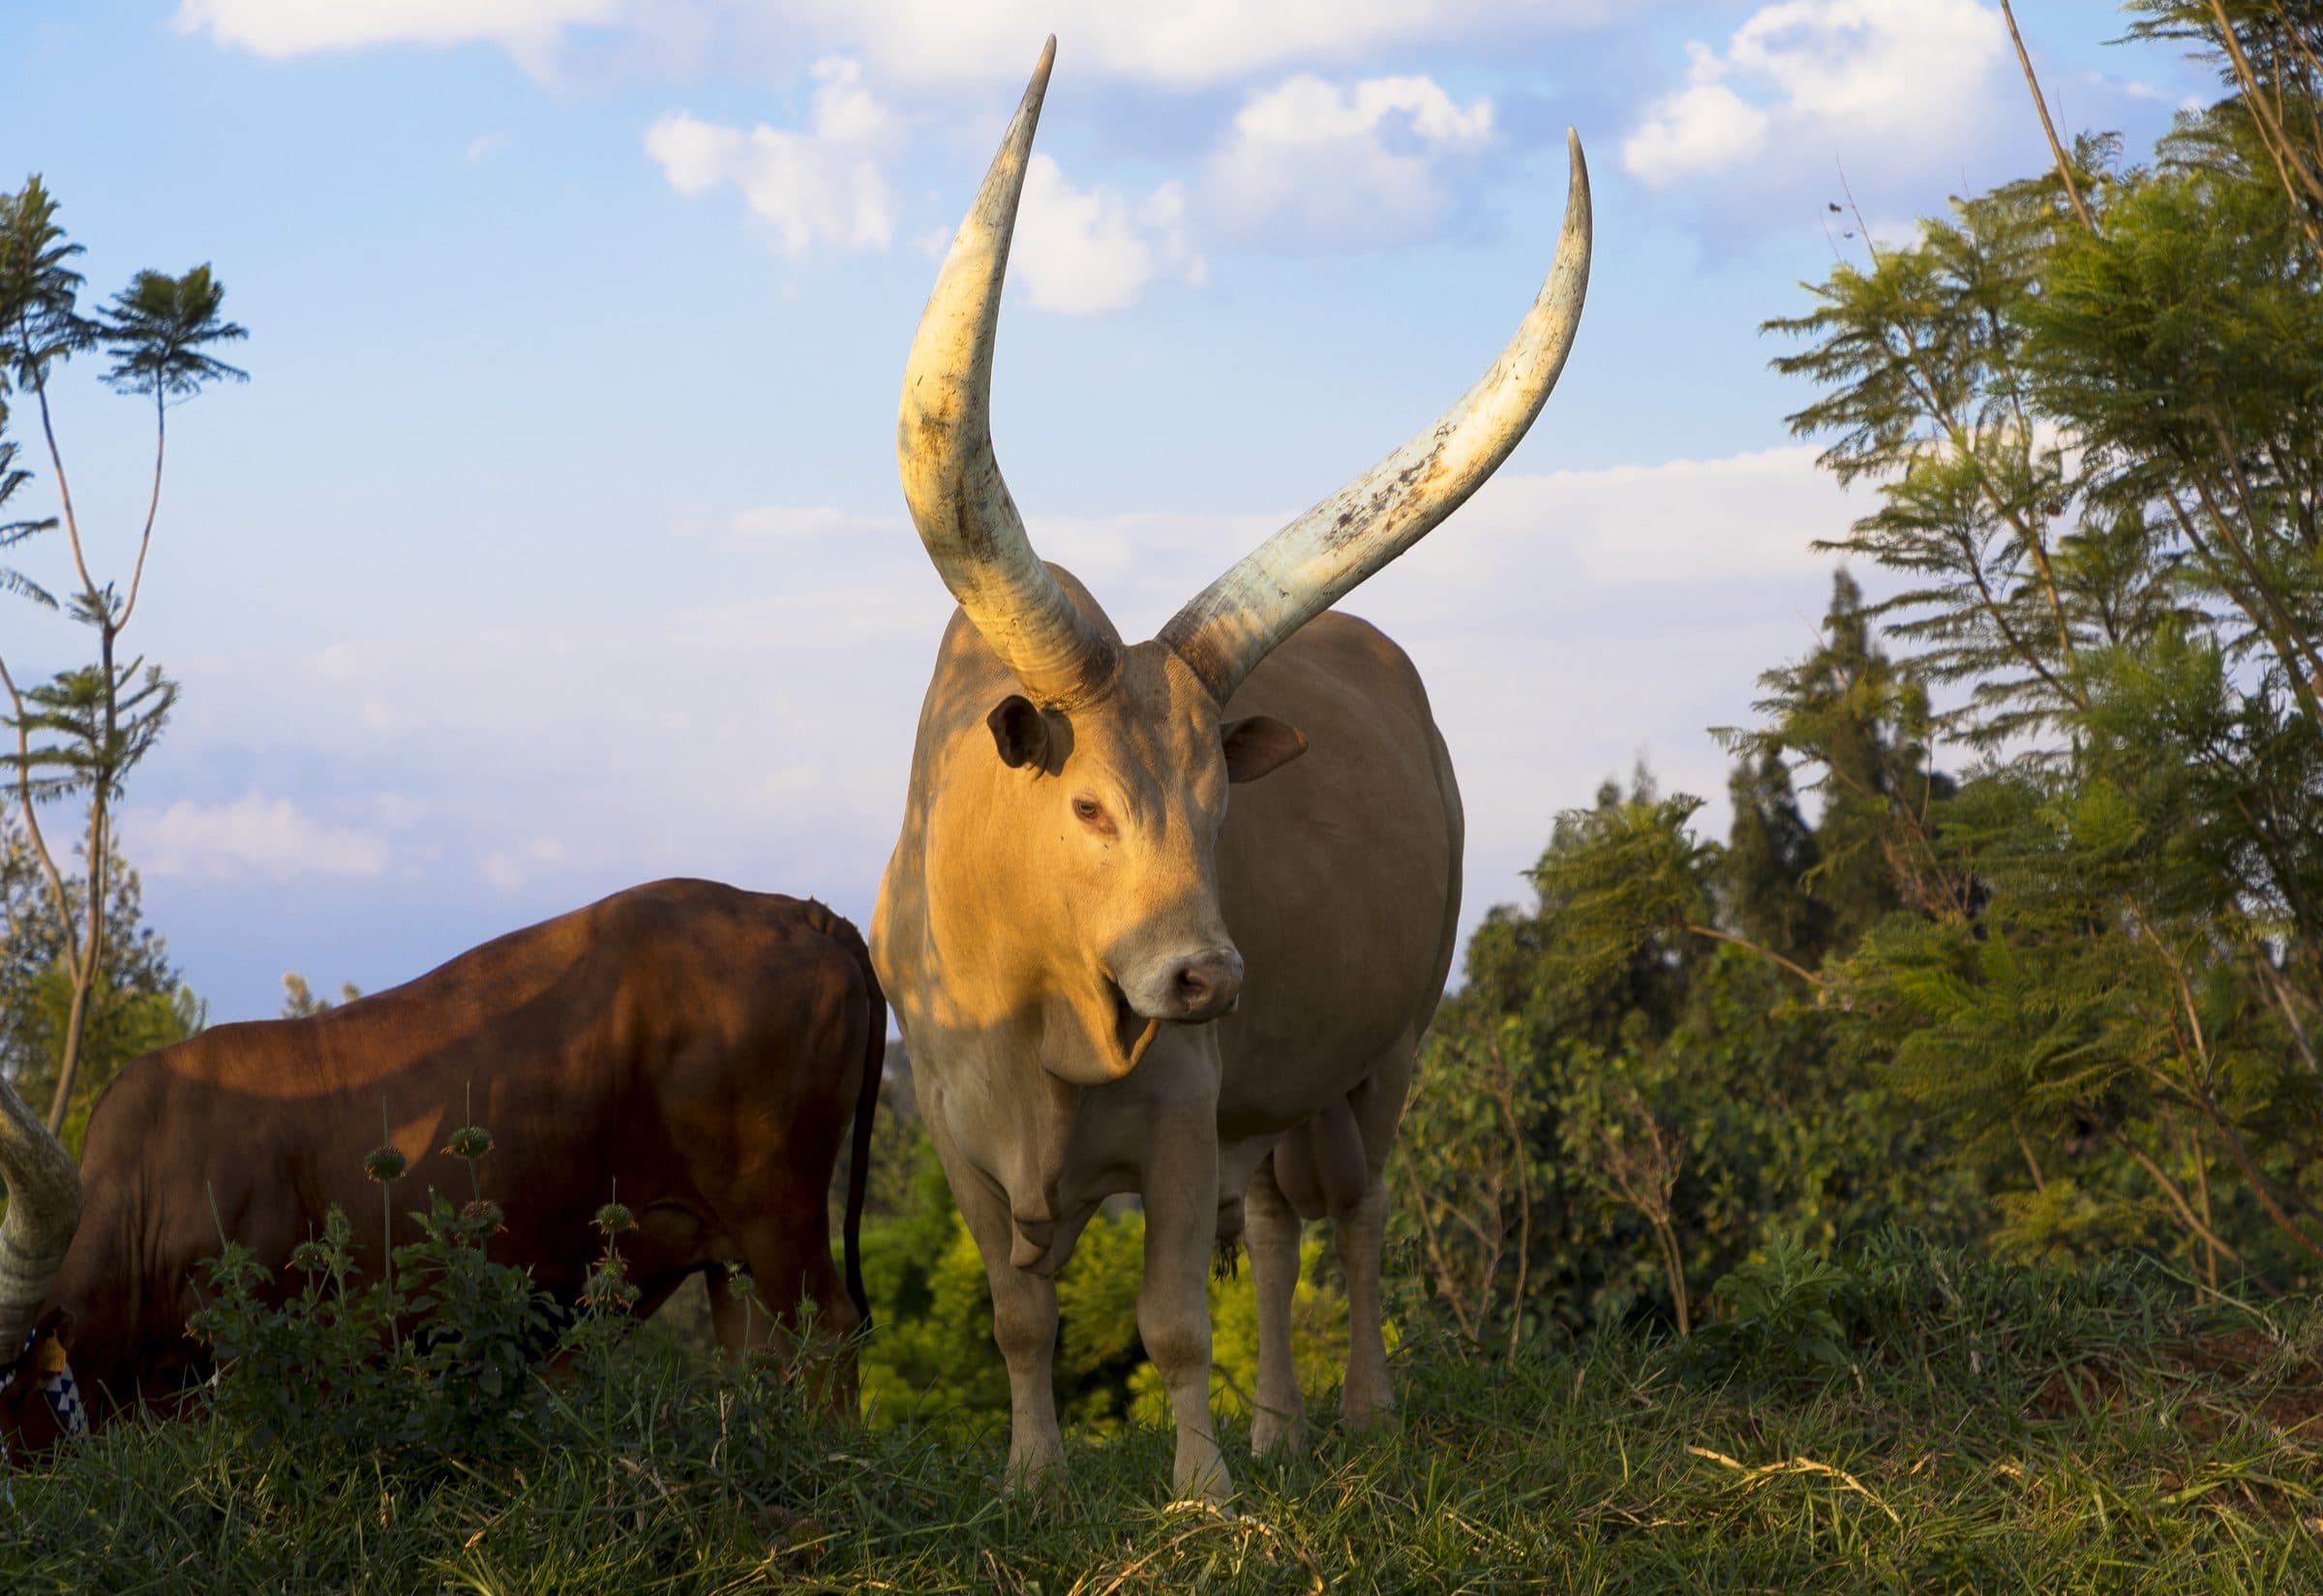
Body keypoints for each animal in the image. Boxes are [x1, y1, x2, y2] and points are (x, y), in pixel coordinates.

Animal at [872, 39, 1590, 1503]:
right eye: (1088, 801)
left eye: (1218, 806)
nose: (1206, 974)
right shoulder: (959, 1139)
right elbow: (1019, 1316)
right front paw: (1034, 1476)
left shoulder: (1182, 1115)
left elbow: (1170, 1321)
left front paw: (1201, 1489)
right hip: (1277, 1090)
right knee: (1271, 1227)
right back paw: (1281, 1428)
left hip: (1389, 1050)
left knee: (1356, 1210)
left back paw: (1358, 1411)